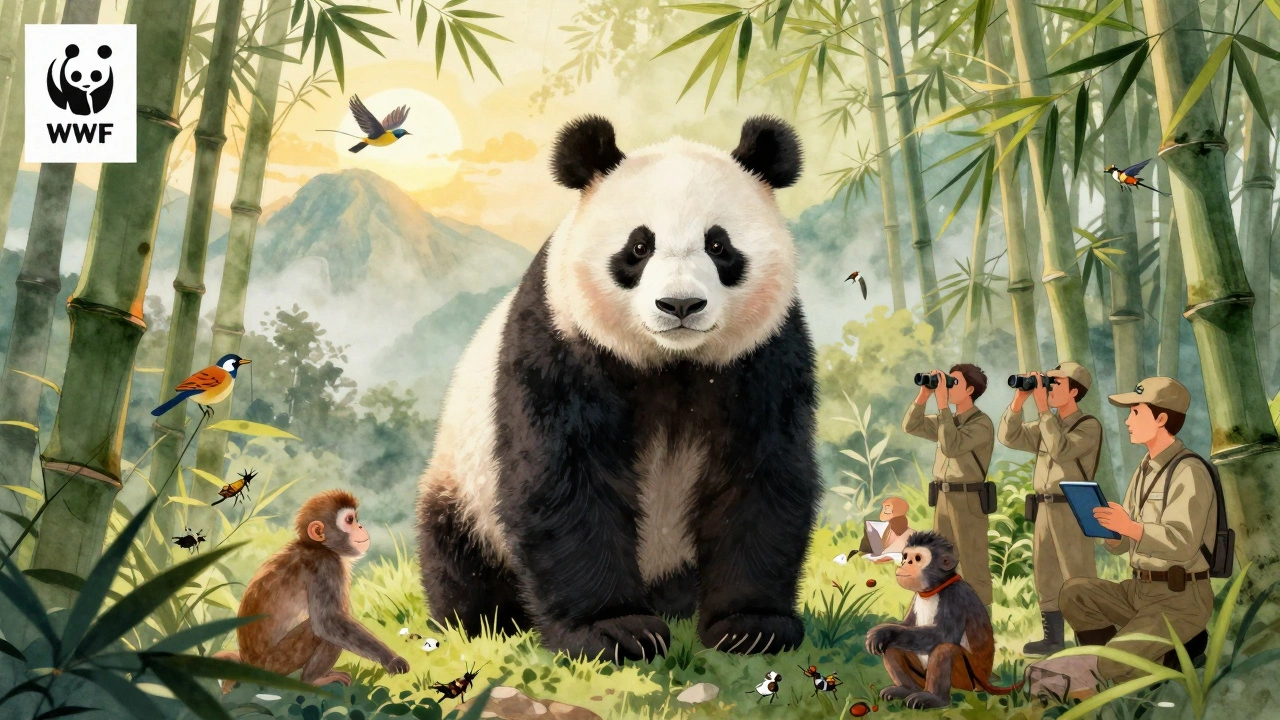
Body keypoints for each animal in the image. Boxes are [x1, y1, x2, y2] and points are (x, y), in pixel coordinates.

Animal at [416, 115, 821, 663]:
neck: (673, 362)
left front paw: (751, 627)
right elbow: (568, 480)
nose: (680, 305)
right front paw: (613, 631)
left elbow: (761, 476)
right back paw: (484, 621)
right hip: (464, 482)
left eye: (719, 246)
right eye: (639, 247)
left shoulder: (764, 356)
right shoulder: (562, 340)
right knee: (457, 551)